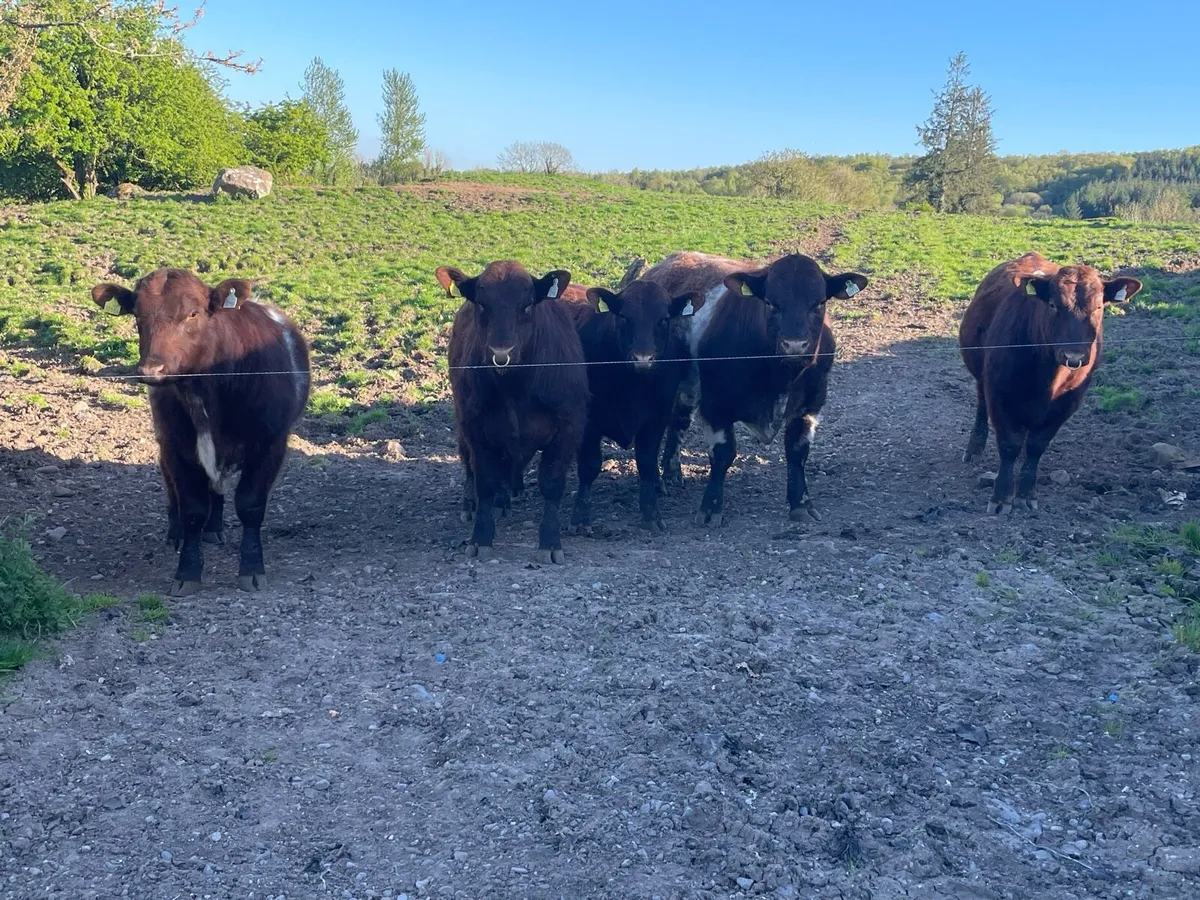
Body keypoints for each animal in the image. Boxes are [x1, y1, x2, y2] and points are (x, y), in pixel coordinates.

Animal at [91, 268, 310, 596]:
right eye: (137, 316)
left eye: (192, 313)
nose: (151, 370)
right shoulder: (178, 446)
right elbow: (192, 509)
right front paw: (188, 571)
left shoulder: (272, 443)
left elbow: (250, 505)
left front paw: (252, 569)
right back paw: (178, 533)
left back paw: (214, 529)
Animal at [438, 260, 588, 564]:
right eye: (482, 304)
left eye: (527, 305)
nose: (501, 353)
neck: (515, 387)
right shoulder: (475, 426)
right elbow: (484, 479)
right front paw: (480, 538)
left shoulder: (569, 427)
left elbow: (552, 484)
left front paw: (550, 543)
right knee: (468, 463)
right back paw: (472, 503)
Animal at [564, 280, 705, 533]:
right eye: (623, 317)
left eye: (664, 319)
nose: (643, 358)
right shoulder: (589, 420)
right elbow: (589, 466)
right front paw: (580, 519)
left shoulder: (656, 418)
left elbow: (646, 462)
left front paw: (651, 515)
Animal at [641, 251, 868, 526]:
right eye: (770, 302)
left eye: (819, 302)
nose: (795, 344)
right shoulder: (716, 405)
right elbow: (723, 453)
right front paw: (711, 508)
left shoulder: (811, 404)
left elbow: (797, 451)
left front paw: (801, 504)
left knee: (678, 421)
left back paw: (672, 473)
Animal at [959, 251, 1141, 513]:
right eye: (1054, 305)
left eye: (1098, 307)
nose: (1073, 356)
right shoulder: (999, 394)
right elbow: (1009, 445)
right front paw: (1001, 498)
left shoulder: (1066, 404)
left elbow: (1036, 446)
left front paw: (1026, 494)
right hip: (981, 378)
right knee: (981, 406)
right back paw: (974, 449)